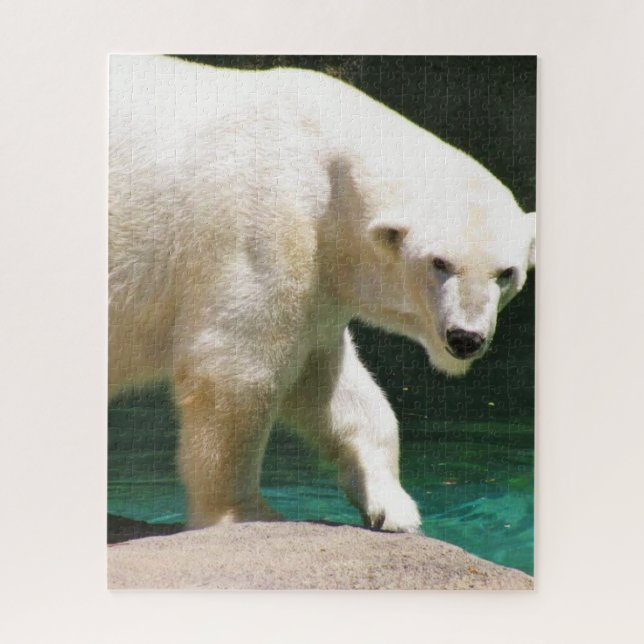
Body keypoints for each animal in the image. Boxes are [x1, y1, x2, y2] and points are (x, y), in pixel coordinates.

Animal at [109, 55, 535, 533]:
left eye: (506, 273)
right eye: (439, 263)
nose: (465, 338)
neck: (327, 168)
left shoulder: (323, 279)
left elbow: (329, 383)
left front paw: (392, 506)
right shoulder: (265, 227)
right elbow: (236, 369)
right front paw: (245, 513)